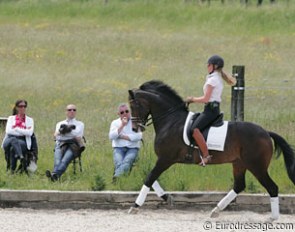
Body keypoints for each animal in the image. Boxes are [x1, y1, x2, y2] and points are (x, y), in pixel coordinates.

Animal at [128, 80, 295, 219]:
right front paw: (167, 197)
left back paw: (273, 218)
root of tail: (266, 132)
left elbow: (149, 178)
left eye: (134, 106)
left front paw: (135, 206)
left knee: (272, 187)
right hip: (239, 163)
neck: (171, 120)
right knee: (239, 185)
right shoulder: (164, 159)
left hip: (257, 166)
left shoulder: (165, 159)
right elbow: (151, 179)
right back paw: (216, 210)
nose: (135, 128)